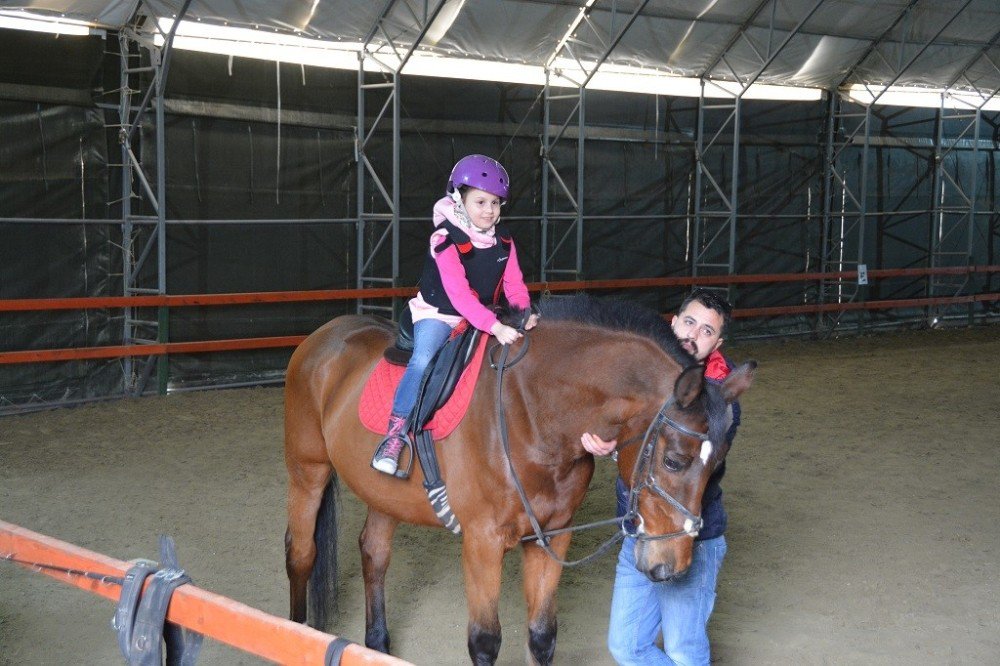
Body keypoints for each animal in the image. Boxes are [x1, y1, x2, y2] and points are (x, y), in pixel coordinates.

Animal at [286, 296, 752, 664]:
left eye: (719, 468)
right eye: (674, 461)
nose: (672, 566)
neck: (530, 412)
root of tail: (325, 335)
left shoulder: (553, 536)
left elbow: (543, 636)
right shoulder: (482, 542)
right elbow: (485, 641)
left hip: (384, 494)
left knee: (375, 554)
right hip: (308, 471)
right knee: (302, 554)